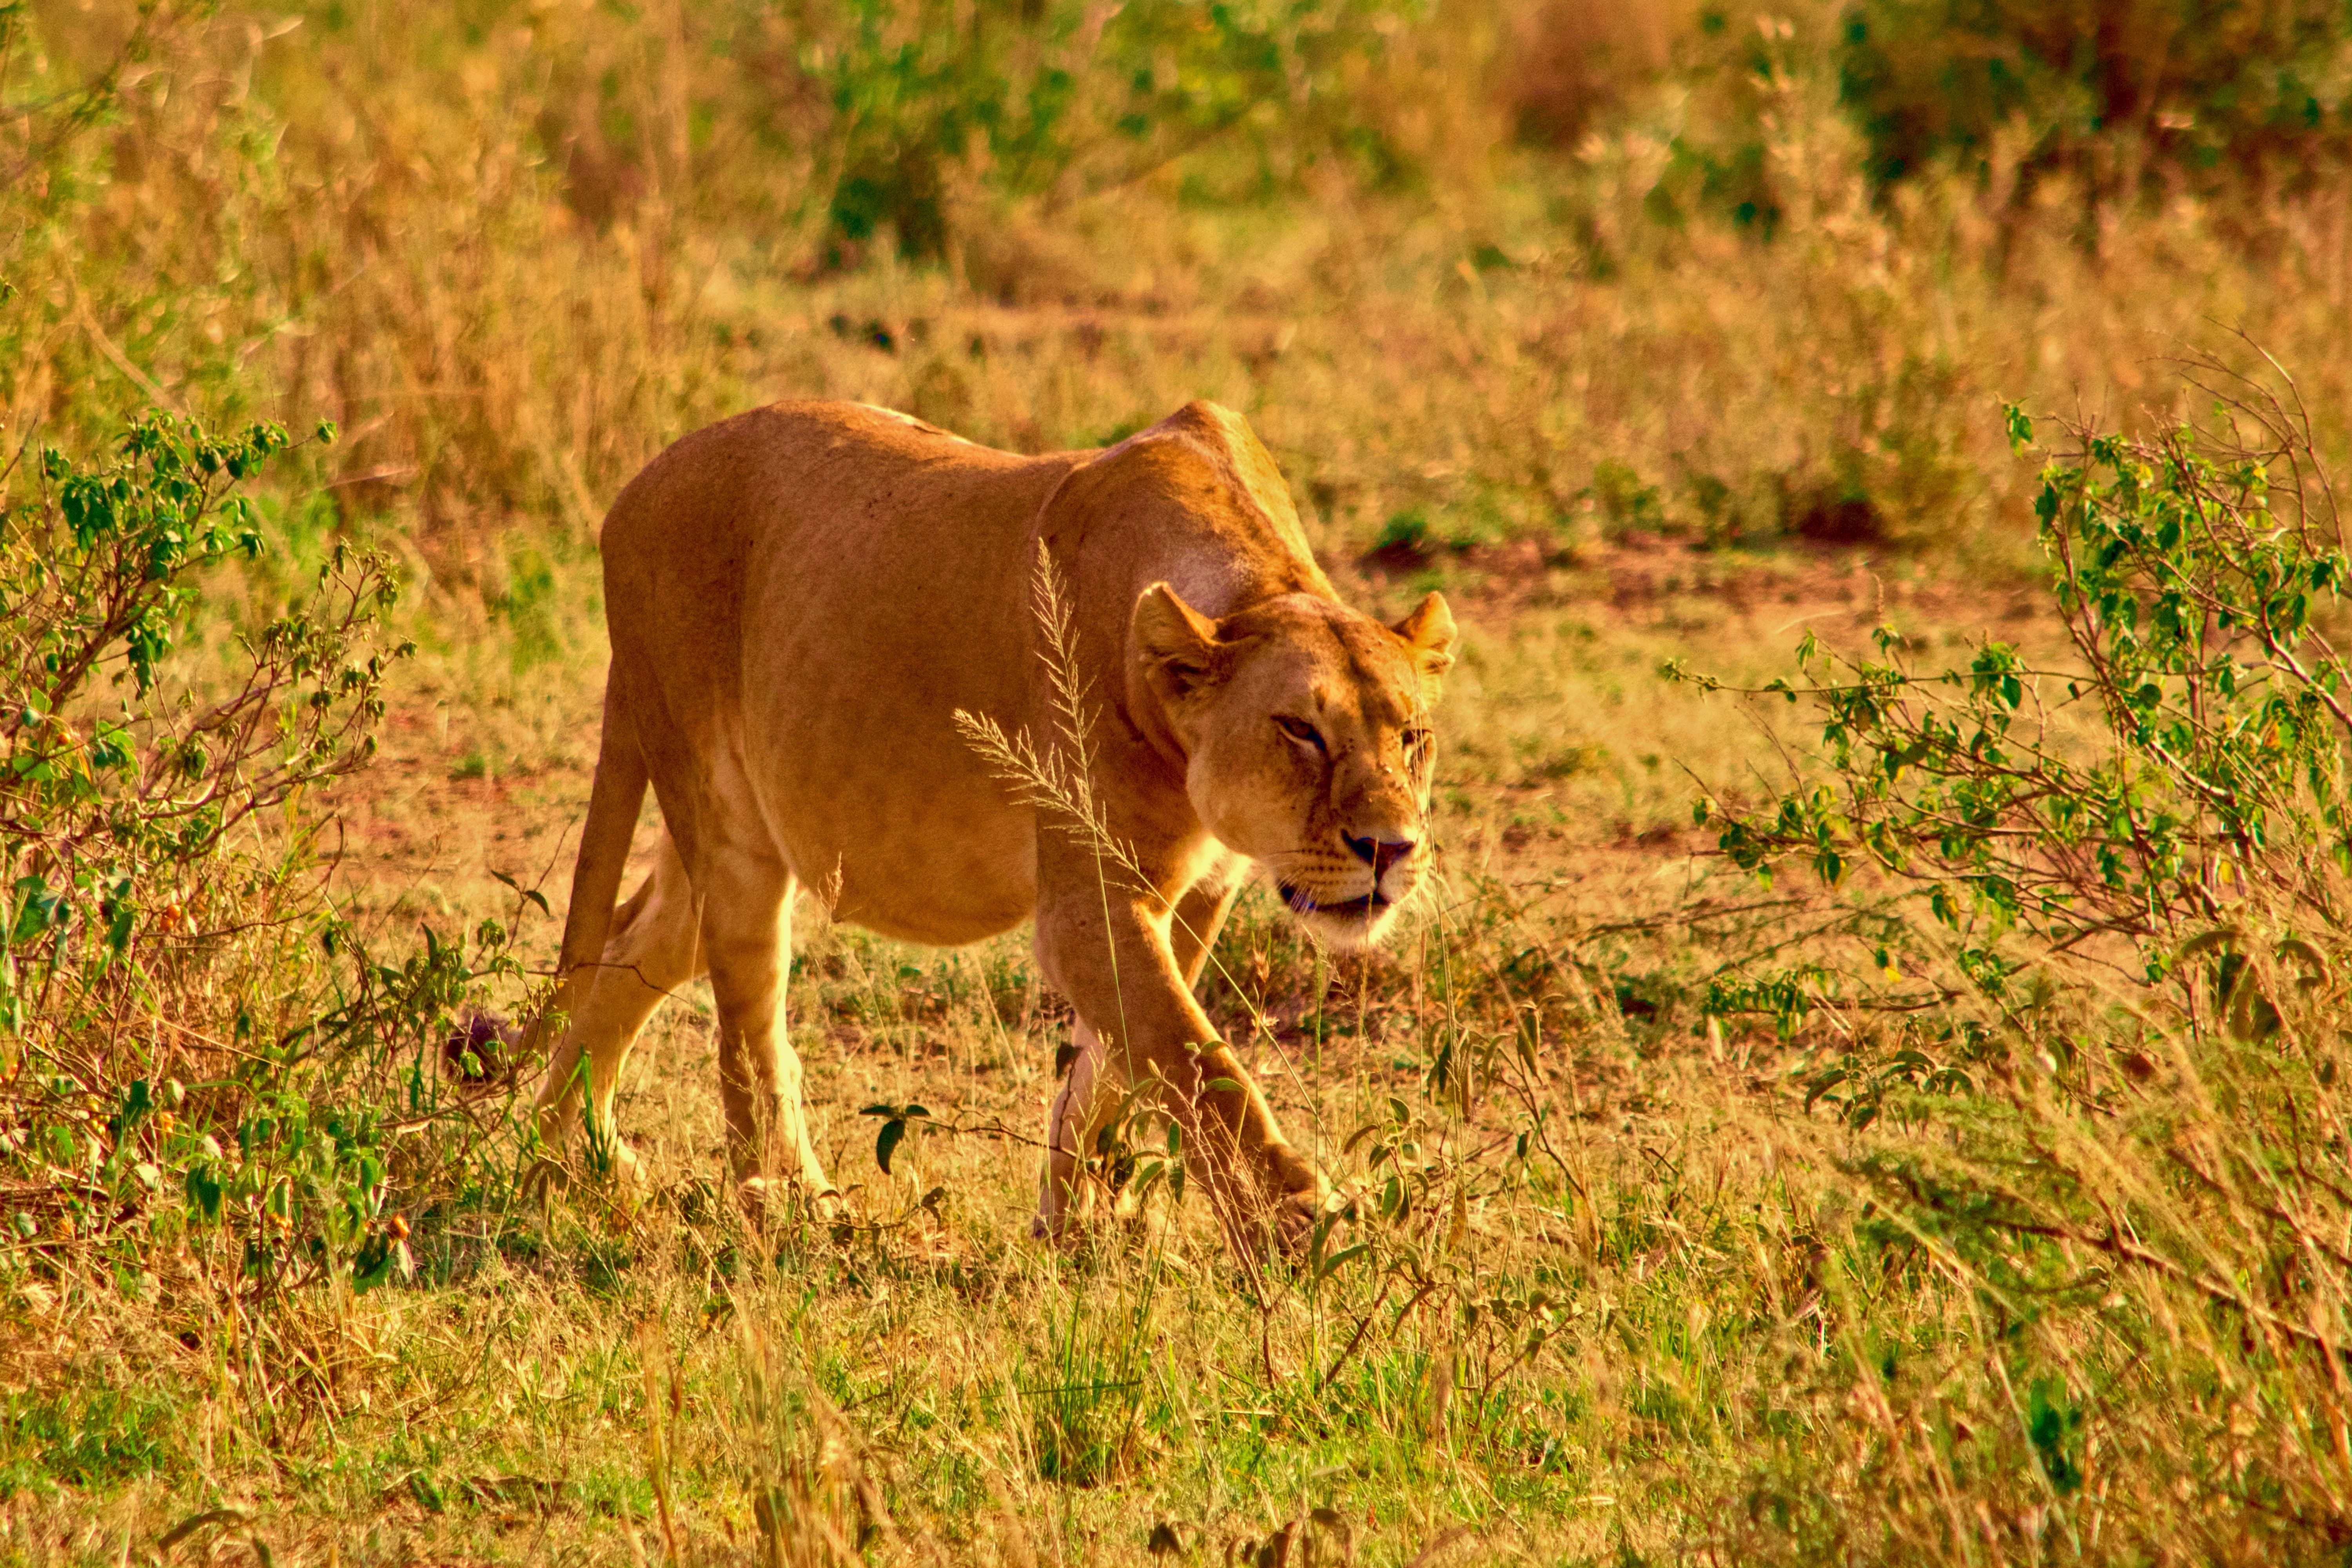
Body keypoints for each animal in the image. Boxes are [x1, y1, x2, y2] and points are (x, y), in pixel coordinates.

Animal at [527, 398, 1456, 1250]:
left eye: (1413, 737)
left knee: (629, 950)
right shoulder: (1090, 902)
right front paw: (1297, 1224)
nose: (1390, 849)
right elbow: (1196, 1057)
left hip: (728, 839)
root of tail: (634, 490)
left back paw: (569, 1162)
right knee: (748, 1026)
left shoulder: (1196, 892)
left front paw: (1082, 1221)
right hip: (726, 833)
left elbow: (1114, 1067)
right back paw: (791, 1202)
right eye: (1301, 730)